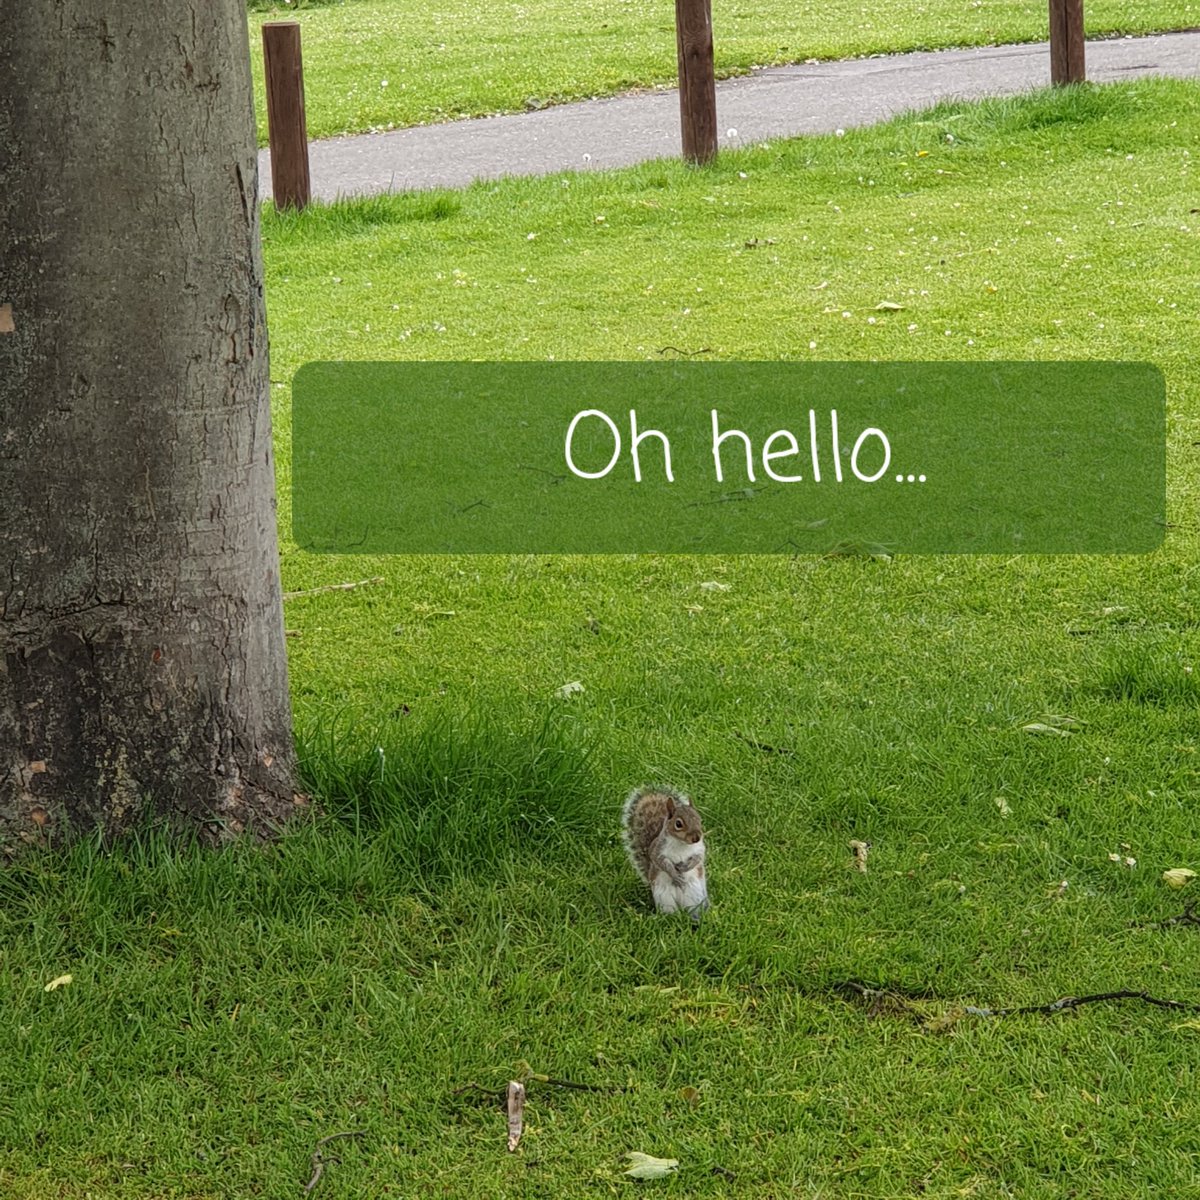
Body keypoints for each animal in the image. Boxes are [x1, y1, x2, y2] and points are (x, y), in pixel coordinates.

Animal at [621, 786, 710, 919]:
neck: (682, 844)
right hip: (664, 898)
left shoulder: (699, 849)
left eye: (700, 820)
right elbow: (661, 862)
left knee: (693, 909)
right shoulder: (658, 850)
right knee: (670, 911)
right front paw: (675, 875)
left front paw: (684, 867)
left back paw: (694, 919)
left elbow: (698, 858)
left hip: (694, 896)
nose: (696, 838)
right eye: (678, 824)